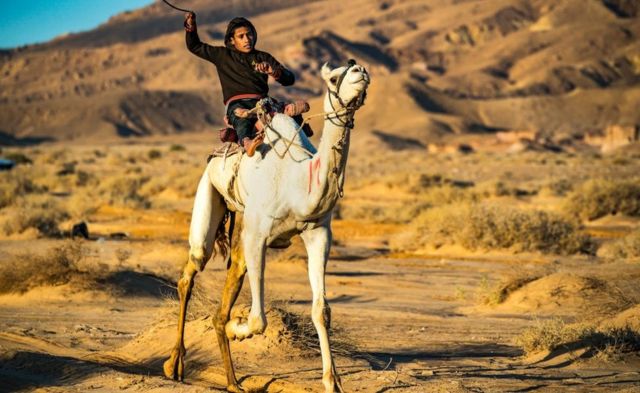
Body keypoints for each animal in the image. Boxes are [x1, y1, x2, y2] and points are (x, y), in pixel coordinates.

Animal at [164, 59, 370, 390]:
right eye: (334, 77)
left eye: (360, 71)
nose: (359, 69)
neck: (297, 181)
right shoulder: (258, 234)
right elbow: (258, 320)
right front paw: (237, 327)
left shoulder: (318, 233)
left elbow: (321, 310)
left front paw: (333, 382)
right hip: (208, 194)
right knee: (191, 270)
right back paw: (175, 364)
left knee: (231, 277)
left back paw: (232, 381)